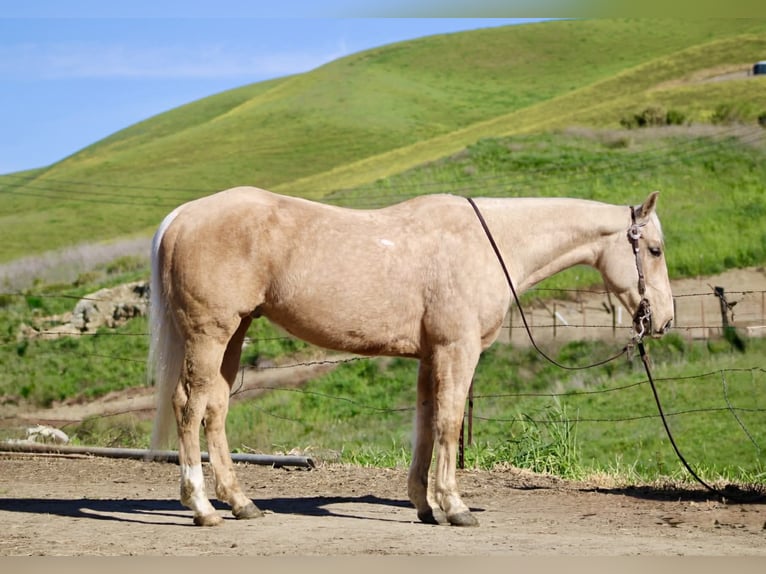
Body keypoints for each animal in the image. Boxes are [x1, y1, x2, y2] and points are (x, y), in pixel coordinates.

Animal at [148, 186, 674, 527]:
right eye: (654, 249)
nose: (664, 319)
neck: (487, 244)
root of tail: (181, 217)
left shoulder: (429, 356)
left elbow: (425, 423)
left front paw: (424, 506)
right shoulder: (457, 351)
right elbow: (449, 422)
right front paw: (455, 507)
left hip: (234, 334)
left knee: (215, 408)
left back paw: (241, 503)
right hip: (210, 334)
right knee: (189, 406)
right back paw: (202, 508)